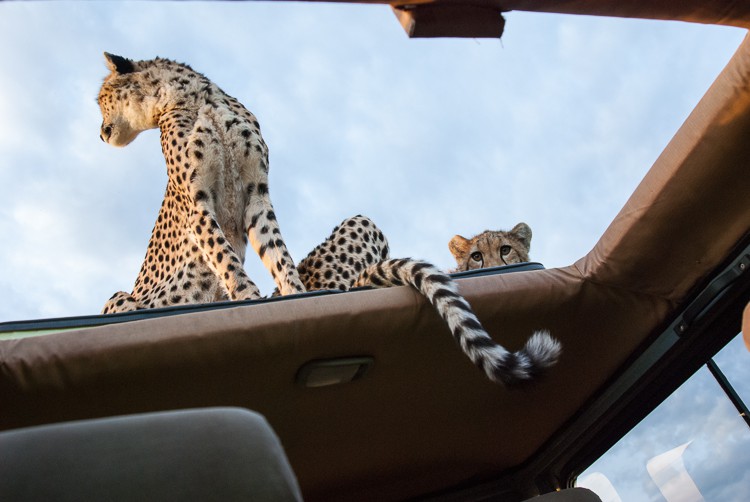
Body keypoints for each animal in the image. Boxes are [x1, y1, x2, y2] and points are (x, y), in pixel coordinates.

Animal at [99, 54, 306, 314]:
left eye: (100, 101)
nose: (100, 134)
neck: (198, 99)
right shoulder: (197, 203)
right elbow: (224, 257)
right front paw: (248, 296)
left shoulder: (257, 195)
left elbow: (277, 252)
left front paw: (297, 293)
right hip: (117, 297)